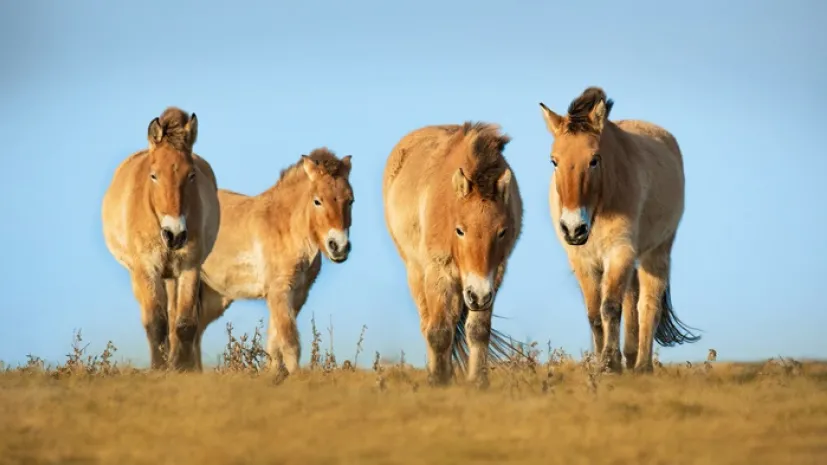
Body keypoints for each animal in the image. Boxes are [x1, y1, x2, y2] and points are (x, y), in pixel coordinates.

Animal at [102, 106, 222, 370]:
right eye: (154, 175)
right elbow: (156, 323)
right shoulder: (147, 269)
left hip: (172, 276)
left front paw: (182, 369)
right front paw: (159, 368)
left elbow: (185, 323)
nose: (174, 234)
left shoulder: (189, 267)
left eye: (191, 175)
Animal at [198, 149, 356, 374]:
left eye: (350, 200)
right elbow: (290, 344)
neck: (287, 228)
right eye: (317, 201)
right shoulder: (279, 292)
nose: (339, 246)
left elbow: (274, 346)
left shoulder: (296, 295)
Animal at [384, 121, 524, 386]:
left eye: (502, 232)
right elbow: (439, 331)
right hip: (417, 273)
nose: (478, 295)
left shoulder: (492, 278)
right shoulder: (440, 272)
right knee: (428, 324)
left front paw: (478, 382)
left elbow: (478, 331)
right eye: (460, 230)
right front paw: (439, 382)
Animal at [540, 87, 700, 374]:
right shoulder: (582, 260)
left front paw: (609, 362)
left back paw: (642, 366)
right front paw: (602, 361)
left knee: (648, 305)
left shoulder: (619, 252)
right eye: (554, 161)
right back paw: (630, 356)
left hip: (655, 253)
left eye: (594, 160)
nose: (573, 228)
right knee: (632, 298)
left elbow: (610, 308)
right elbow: (594, 314)